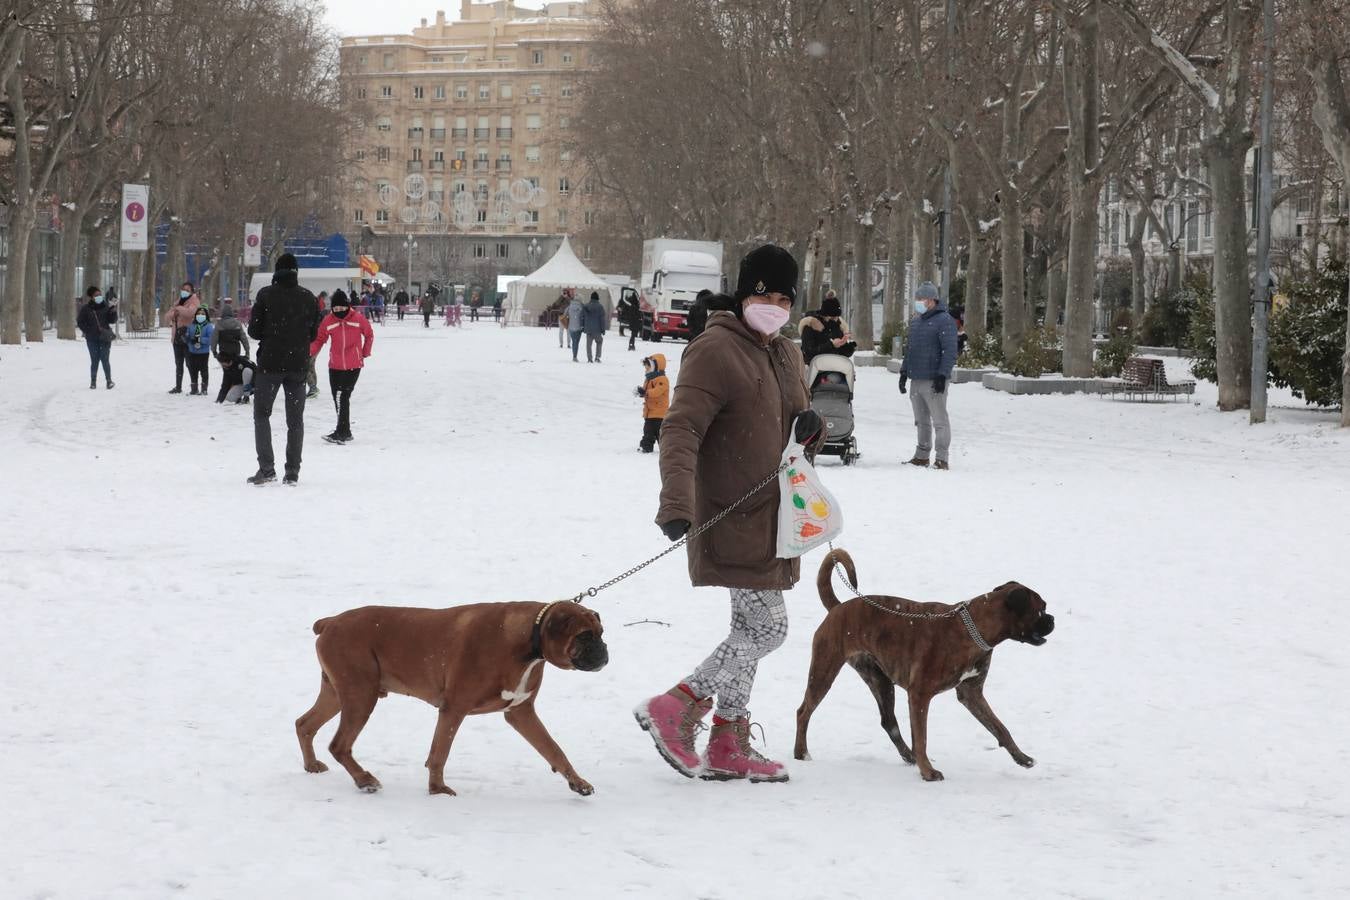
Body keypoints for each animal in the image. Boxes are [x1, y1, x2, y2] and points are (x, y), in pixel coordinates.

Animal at [301, 601, 612, 798]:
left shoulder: (521, 713)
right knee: (339, 744)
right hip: (360, 695)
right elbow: (440, 753)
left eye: (600, 633)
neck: (528, 642)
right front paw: (437, 790)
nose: (604, 651)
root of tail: (329, 622)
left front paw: (578, 783)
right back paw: (364, 780)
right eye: (584, 636)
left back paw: (312, 766)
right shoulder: (454, 709)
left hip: (338, 694)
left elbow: (554, 750)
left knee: (304, 724)